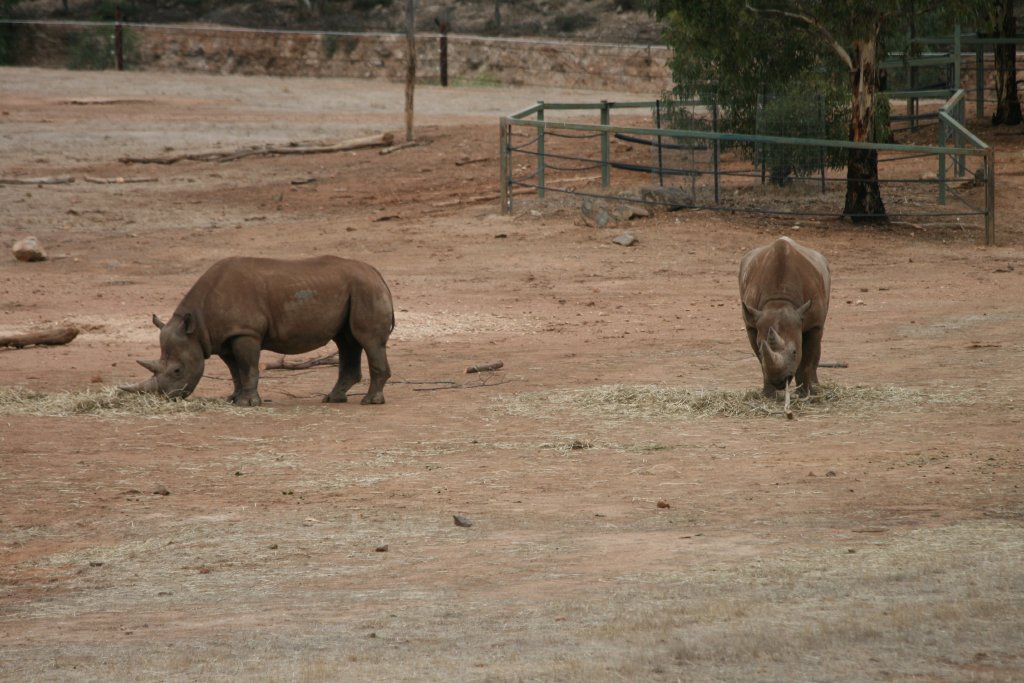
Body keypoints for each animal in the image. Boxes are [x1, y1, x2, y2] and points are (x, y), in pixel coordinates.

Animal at [120, 255, 394, 406]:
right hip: (355, 288)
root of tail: (376, 272)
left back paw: (370, 401)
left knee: (368, 340)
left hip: (365, 288)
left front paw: (248, 403)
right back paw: (332, 398)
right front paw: (233, 399)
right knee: (346, 341)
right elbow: (235, 371)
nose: (166, 398)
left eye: (177, 370)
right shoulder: (225, 337)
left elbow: (248, 367)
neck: (196, 325)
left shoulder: (246, 332)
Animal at [738, 236, 830, 397]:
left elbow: (807, 360)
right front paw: (769, 395)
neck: (780, 301)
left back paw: (815, 388)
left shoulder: (815, 324)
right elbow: (761, 360)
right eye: (761, 351)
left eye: (794, 352)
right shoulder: (751, 324)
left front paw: (807, 394)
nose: (779, 382)